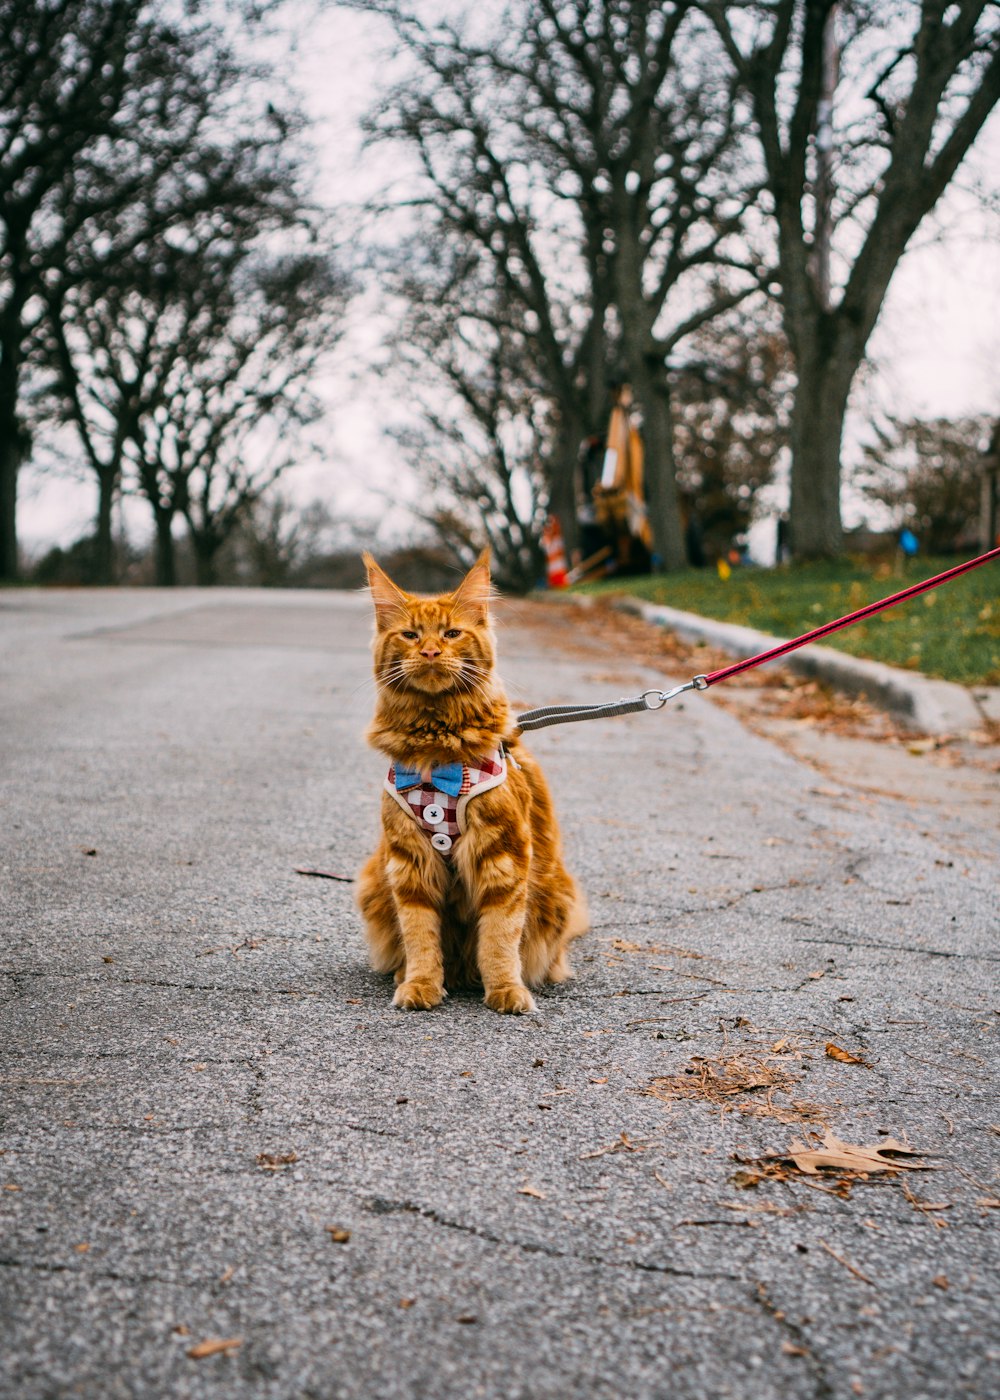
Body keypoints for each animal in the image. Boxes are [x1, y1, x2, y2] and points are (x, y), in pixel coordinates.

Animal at [354, 548, 585, 1019]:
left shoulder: (504, 856)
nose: (429, 650)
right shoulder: (409, 863)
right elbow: (420, 937)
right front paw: (421, 985)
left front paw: (506, 991)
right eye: (410, 635)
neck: (436, 747)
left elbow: (499, 937)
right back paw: (410, 975)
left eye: (452, 633)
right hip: (375, 880)